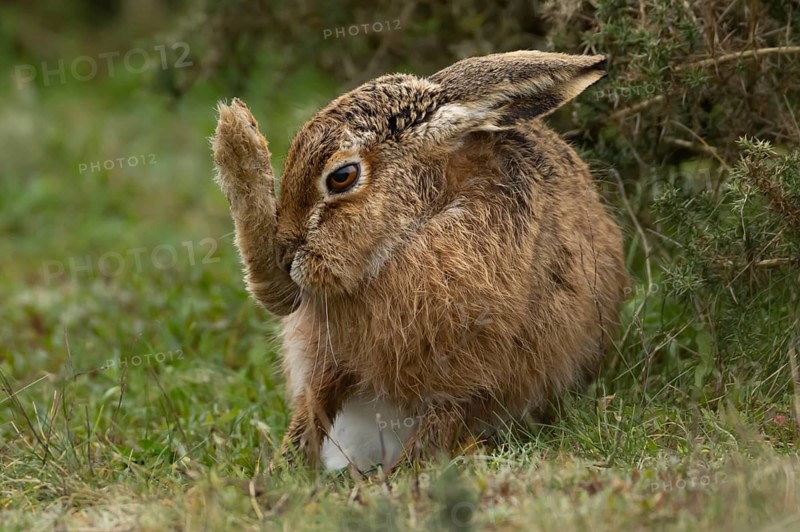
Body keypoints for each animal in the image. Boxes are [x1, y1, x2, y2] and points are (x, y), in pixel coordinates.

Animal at [211, 50, 628, 472]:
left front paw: (400, 475)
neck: (414, 232)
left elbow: (440, 422)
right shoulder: (330, 357)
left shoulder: (466, 377)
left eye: (342, 176)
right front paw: (283, 467)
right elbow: (313, 406)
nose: (285, 256)